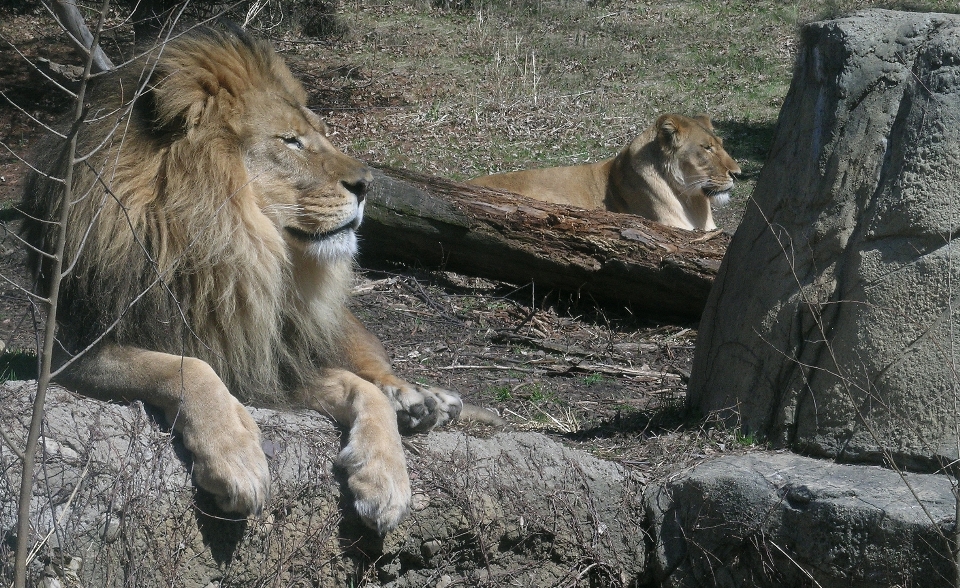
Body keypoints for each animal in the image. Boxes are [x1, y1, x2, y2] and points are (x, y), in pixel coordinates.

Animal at [20, 26, 470, 532]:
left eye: (321, 134)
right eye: (290, 141)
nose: (368, 185)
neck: (228, 257)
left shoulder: (272, 358)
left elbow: (366, 388)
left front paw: (386, 479)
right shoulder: (76, 352)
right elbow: (189, 367)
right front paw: (237, 459)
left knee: (376, 366)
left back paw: (423, 402)